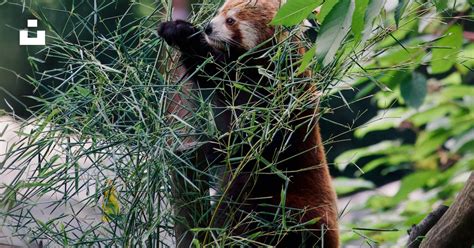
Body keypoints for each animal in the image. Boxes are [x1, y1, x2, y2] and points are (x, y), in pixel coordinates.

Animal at [160, 0, 340, 246]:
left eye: (231, 20)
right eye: (220, 12)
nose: (208, 28)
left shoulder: (280, 103)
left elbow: (250, 142)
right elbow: (211, 74)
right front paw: (177, 30)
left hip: (292, 205)